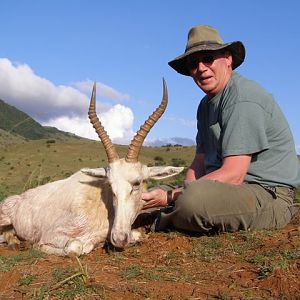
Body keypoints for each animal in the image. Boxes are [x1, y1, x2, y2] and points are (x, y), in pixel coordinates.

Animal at [0, 79, 183, 255]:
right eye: (110, 185)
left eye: (137, 183)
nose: (118, 238)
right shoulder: (54, 235)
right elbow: (75, 247)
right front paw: (37, 246)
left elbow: (137, 235)